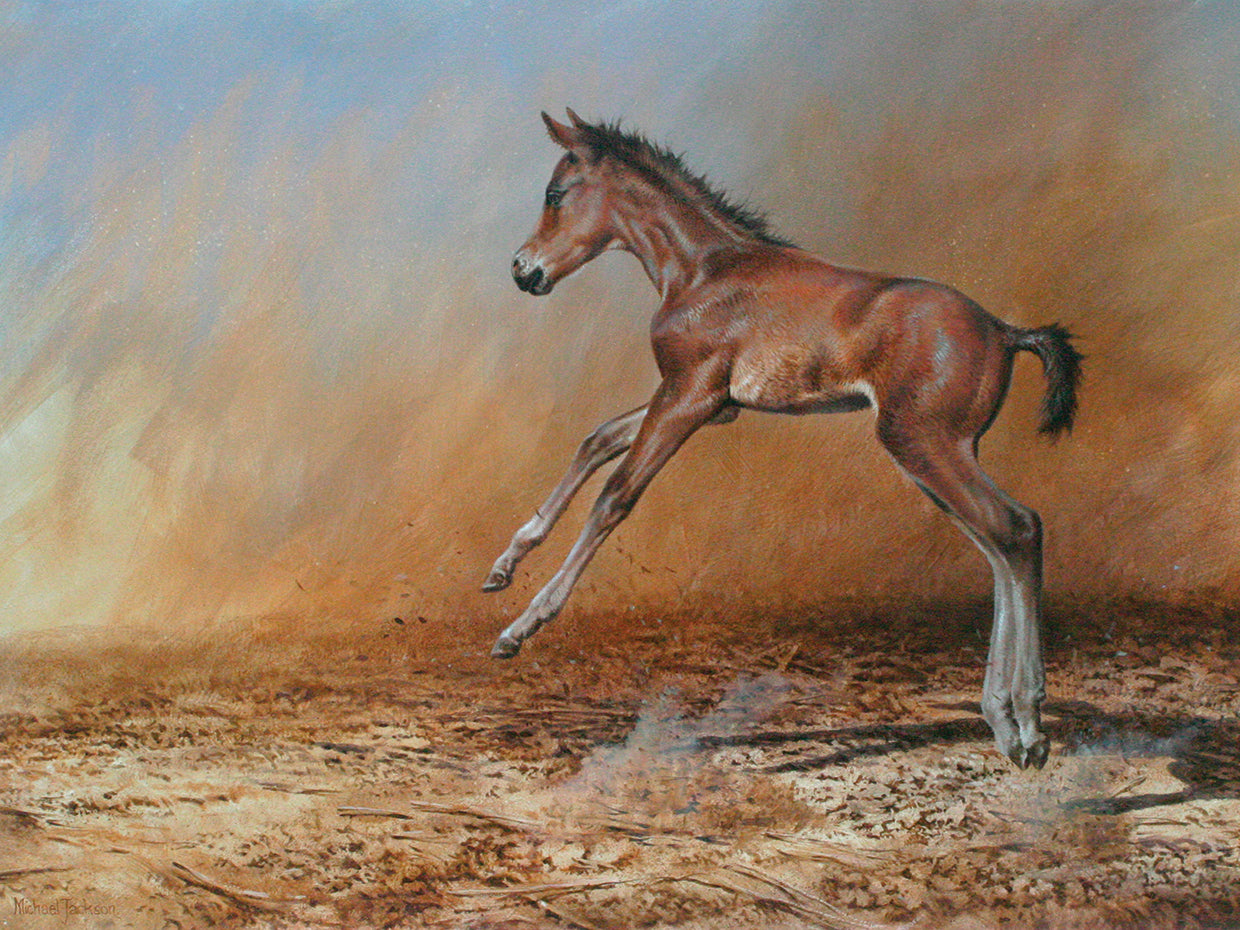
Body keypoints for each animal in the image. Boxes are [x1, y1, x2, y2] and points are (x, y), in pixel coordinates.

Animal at [483, 109, 1082, 770]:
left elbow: (615, 496)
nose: (522, 270)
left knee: (1017, 529)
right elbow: (594, 441)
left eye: (555, 195)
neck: (703, 270)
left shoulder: (688, 396)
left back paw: (1028, 724)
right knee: (998, 545)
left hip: (923, 445)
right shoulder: (712, 406)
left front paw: (519, 629)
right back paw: (1004, 722)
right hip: (942, 453)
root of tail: (1002, 330)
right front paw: (503, 567)